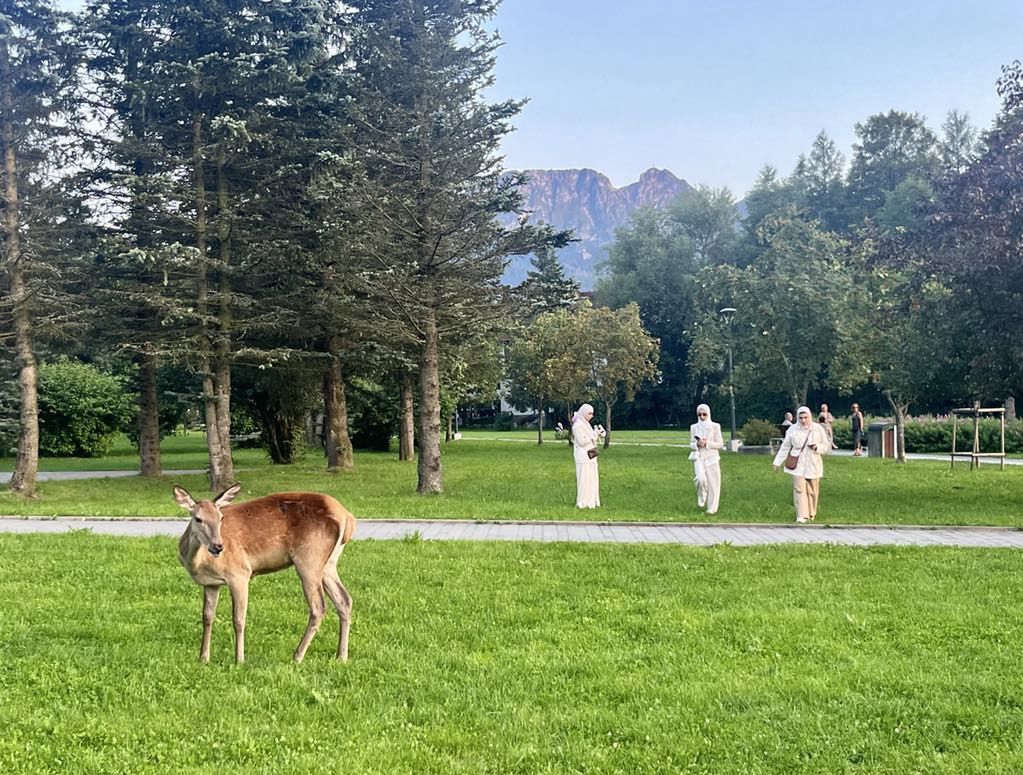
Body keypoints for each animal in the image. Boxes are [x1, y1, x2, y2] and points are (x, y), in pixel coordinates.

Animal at [172, 482, 356, 666]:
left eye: (221, 517)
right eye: (198, 519)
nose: (218, 546)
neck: (197, 562)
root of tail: (348, 518)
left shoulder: (239, 573)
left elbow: (238, 619)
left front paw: (239, 659)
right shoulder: (211, 583)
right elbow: (207, 617)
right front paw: (203, 657)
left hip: (309, 557)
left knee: (318, 606)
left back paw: (297, 656)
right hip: (329, 563)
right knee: (344, 599)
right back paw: (342, 656)